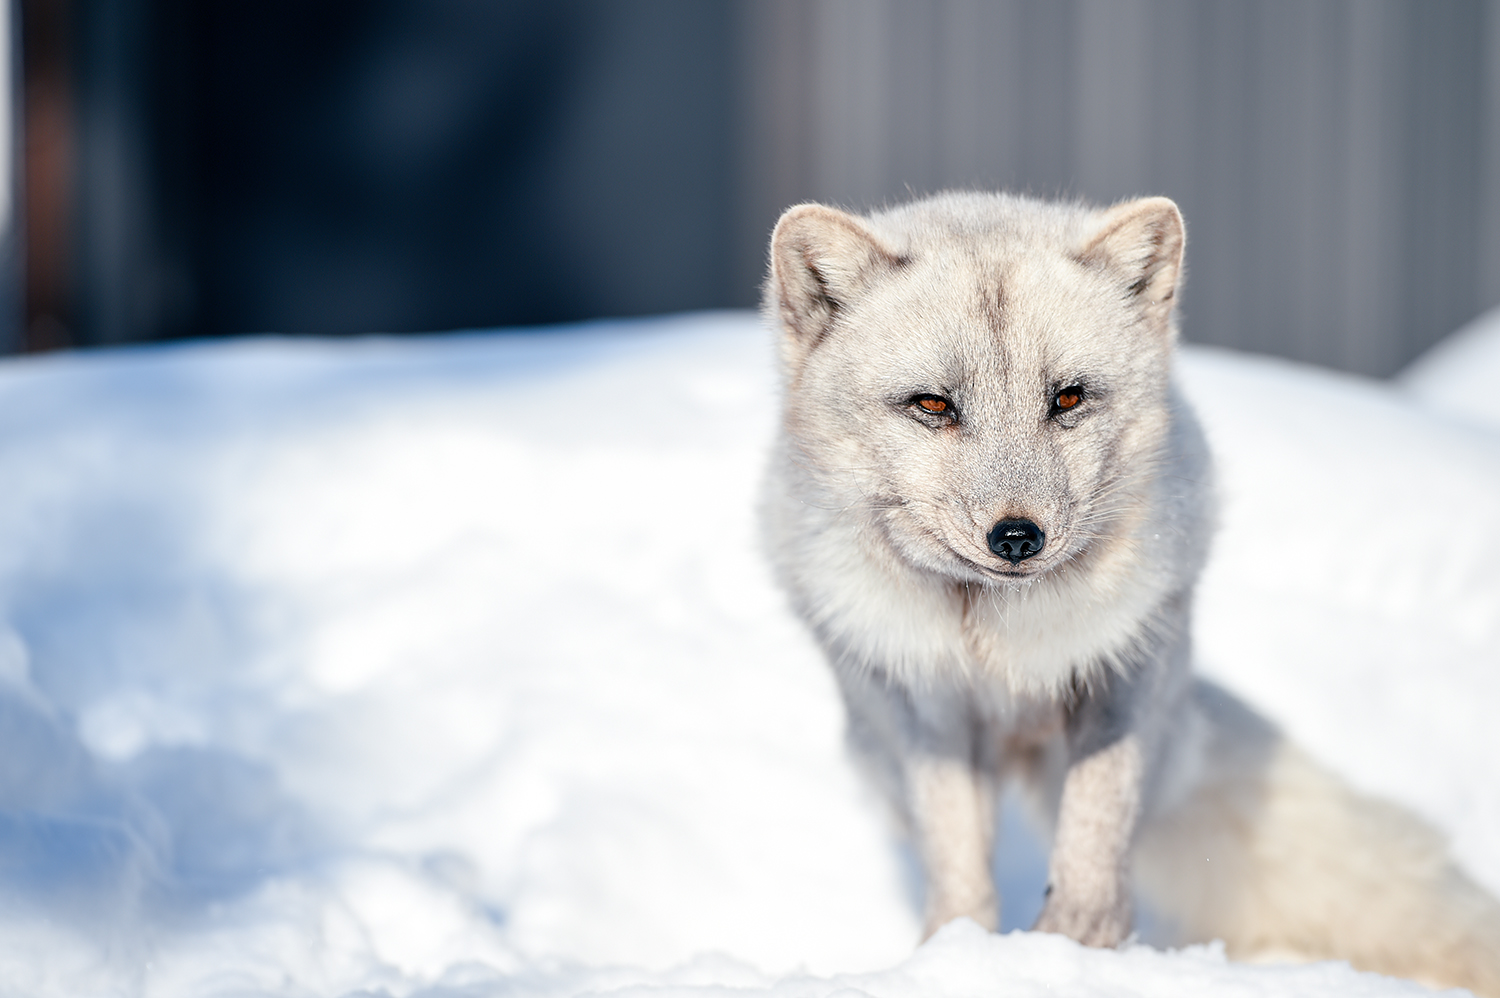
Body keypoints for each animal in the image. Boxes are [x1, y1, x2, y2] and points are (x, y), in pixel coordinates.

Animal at [768, 190, 1500, 990]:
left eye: (1068, 398)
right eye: (932, 405)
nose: (1017, 538)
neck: (1001, 645)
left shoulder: (1122, 669)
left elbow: (1097, 818)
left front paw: (1076, 944)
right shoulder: (929, 713)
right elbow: (958, 854)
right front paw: (956, 952)